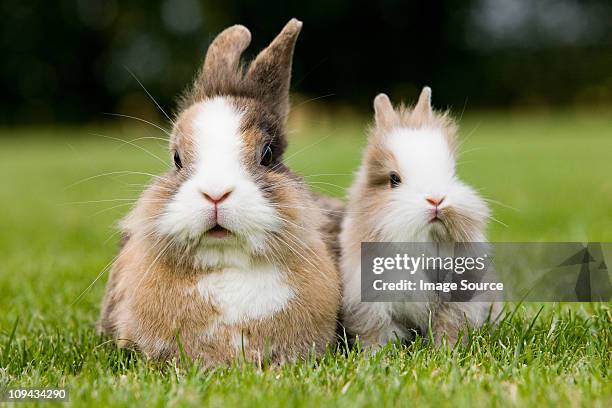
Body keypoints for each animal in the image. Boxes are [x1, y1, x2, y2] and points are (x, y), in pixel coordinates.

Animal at [338, 87, 500, 348]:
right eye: (393, 179)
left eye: (452, 173)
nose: (436, 200)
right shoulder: (369, 303)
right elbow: (377, 335)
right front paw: (377, 355)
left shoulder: (456, 303)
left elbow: (449, 330)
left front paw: (446, 351)